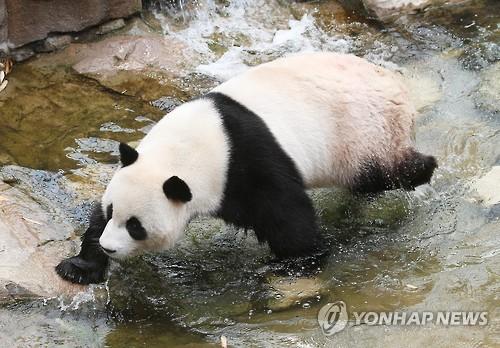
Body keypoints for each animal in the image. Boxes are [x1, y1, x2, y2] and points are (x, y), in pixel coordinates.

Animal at [56, 52, 436, 286]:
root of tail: (401, 90)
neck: (192, 147)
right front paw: (78, 266)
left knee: (383, 173)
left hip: (365, 134)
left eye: (136, 227)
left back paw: (424, 169)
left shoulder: (250, 163)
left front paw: (294, 263)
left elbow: (288, 219)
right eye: (113, 212)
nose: (110, 247)